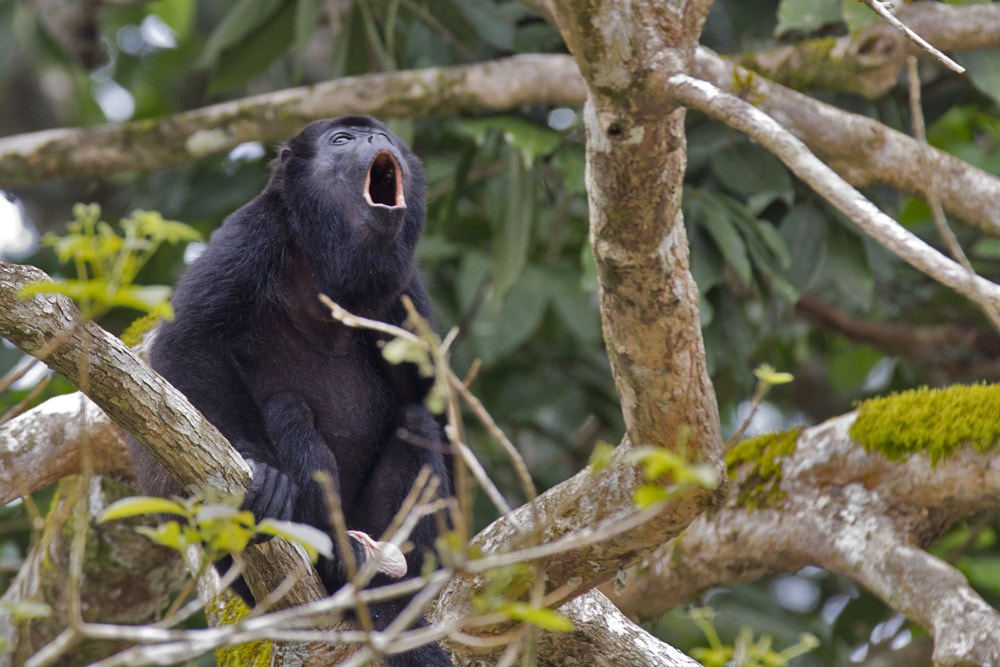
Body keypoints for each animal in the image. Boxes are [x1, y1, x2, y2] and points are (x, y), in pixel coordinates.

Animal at [128, 117, 454, 664]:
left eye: (382, 135)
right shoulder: (253, 231)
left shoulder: (407, 290)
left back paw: (389, 593)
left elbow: (436, 404)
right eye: (341, 141)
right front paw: (260, 463)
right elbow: (189, 339)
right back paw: (334, 561)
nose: (374, 141)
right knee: (288, 408)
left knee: (416, 422)